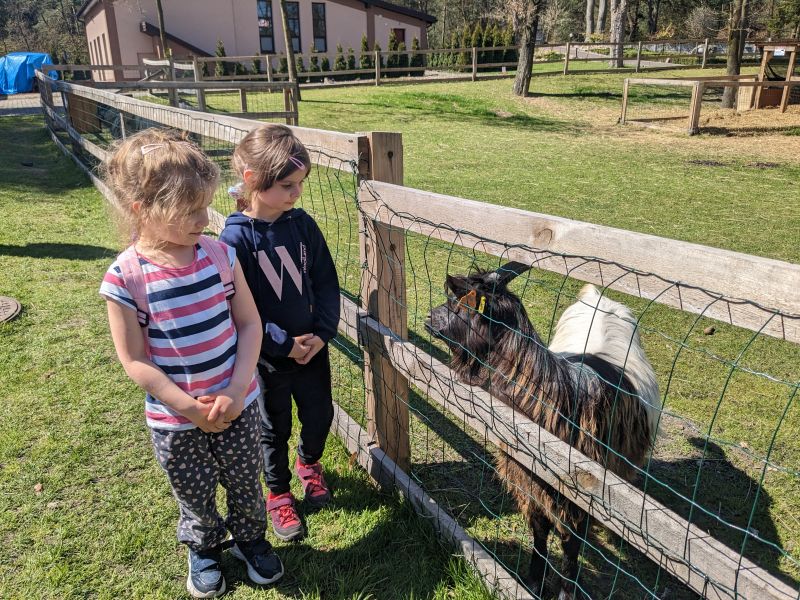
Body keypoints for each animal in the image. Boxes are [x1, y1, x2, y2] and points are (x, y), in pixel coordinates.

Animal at [428, 264, 660, 596]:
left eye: (460, 304)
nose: (429, 318)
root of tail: (600, 300)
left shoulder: (579, 492)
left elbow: (571, 543)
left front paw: (566, 590)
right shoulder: (528, 477)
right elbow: (539, 529)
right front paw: (534, 580)